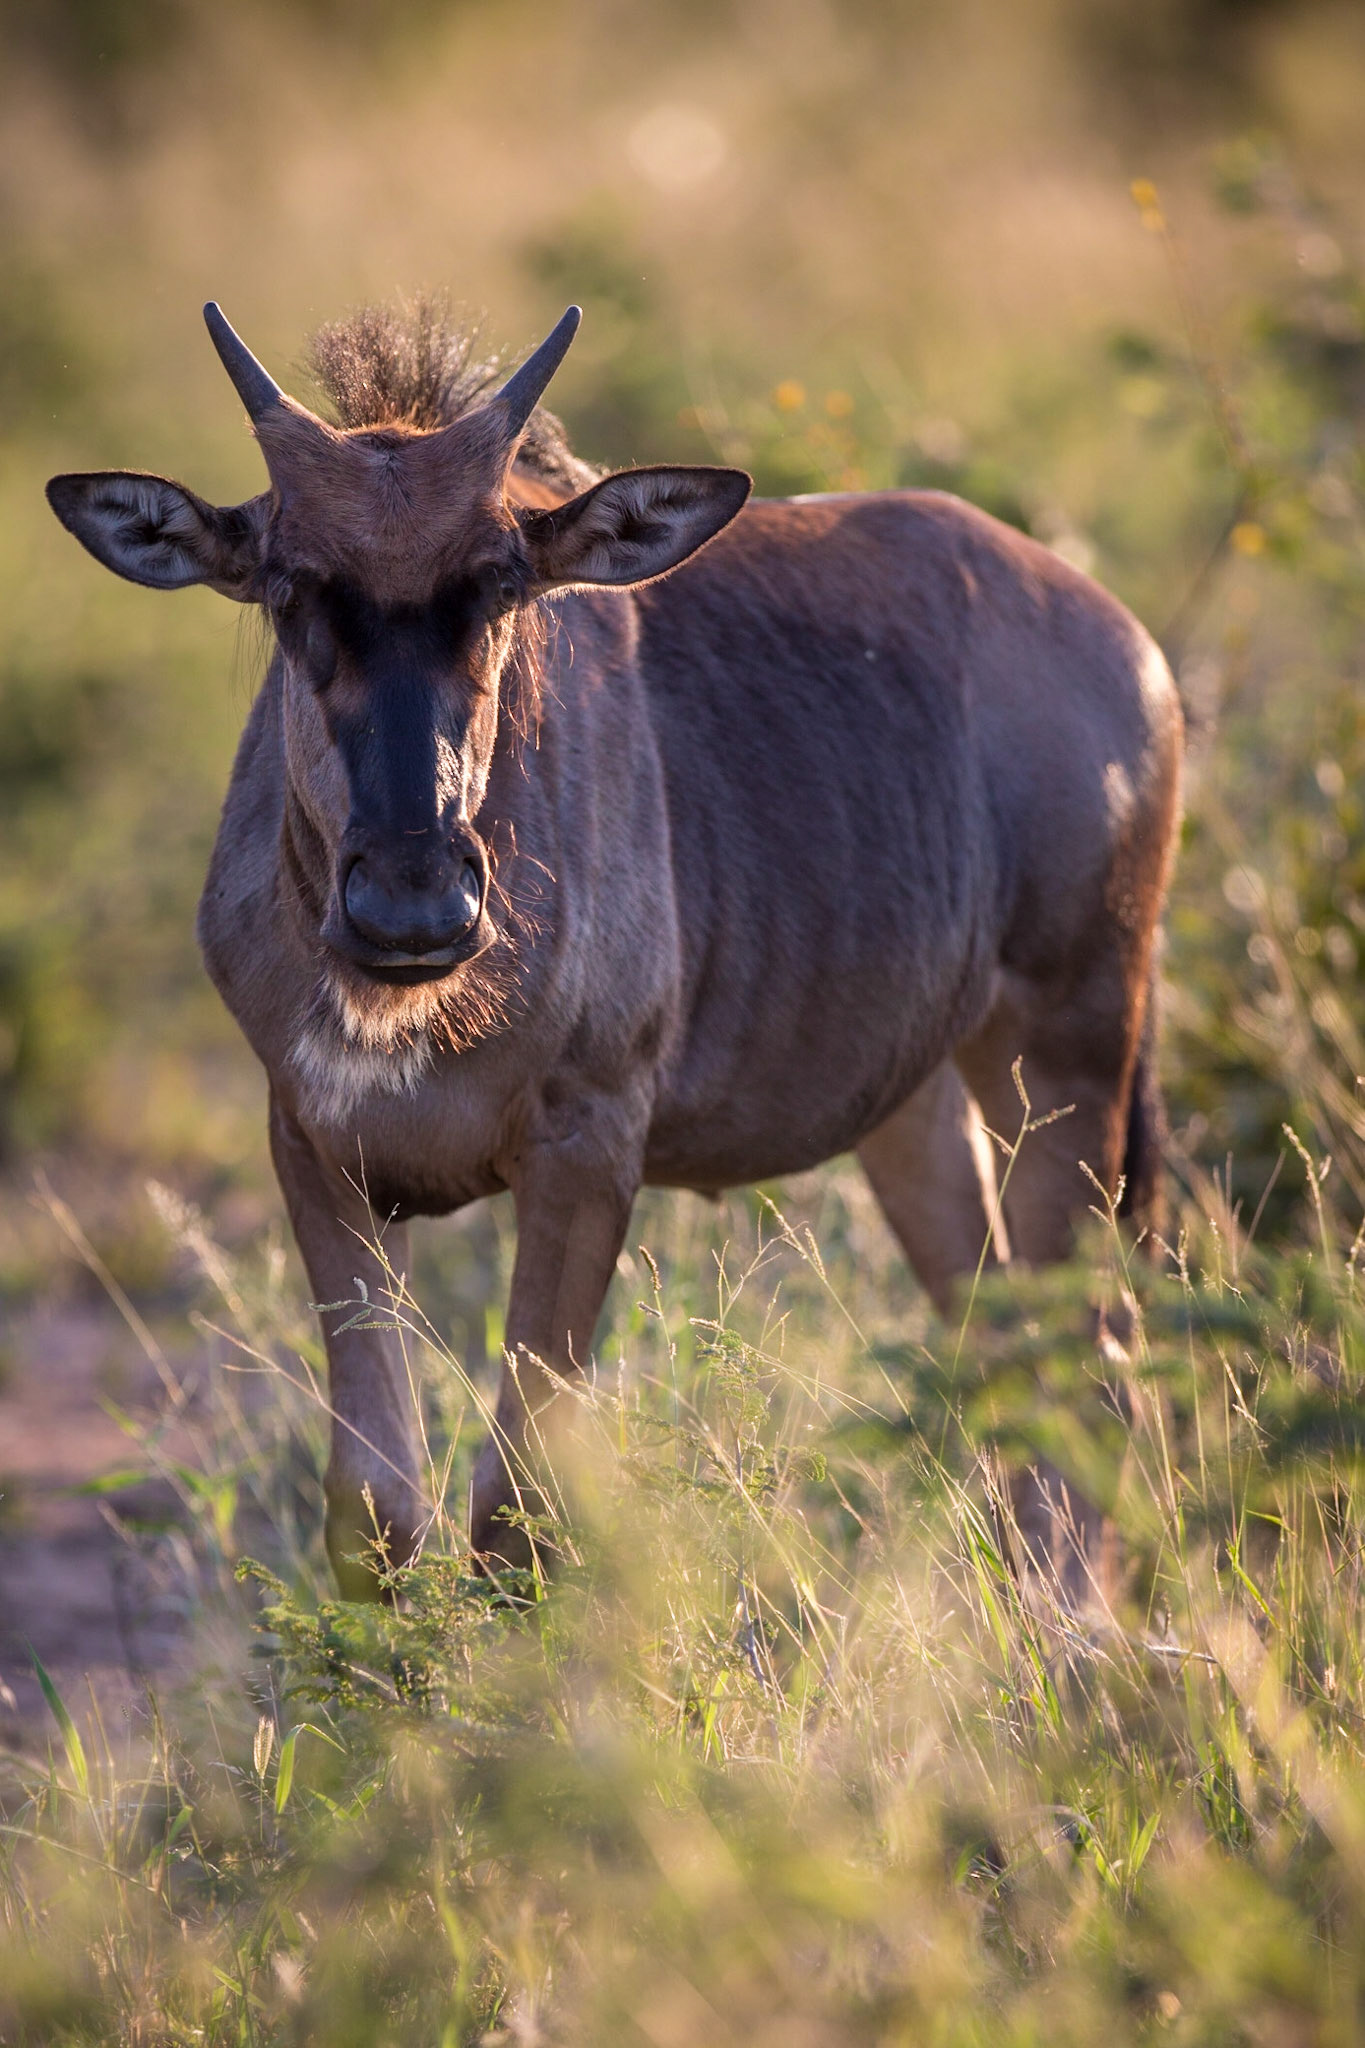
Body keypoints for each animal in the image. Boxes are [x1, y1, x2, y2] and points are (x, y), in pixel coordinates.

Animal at [47, 301, 1182, 1595]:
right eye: (287, 588)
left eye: (502, 584)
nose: (413, 907)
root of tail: (1126, 646)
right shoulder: (316, 1145)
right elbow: (377, 1511)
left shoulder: (587, 1148)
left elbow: (516, 1509)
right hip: (920, 1109)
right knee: (1003, 1346)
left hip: (1070, 1053)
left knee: (1094, 1363)